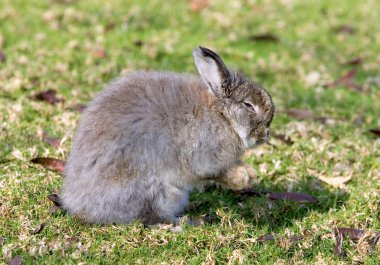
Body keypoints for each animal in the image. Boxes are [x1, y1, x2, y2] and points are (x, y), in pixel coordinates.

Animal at [60, 46, 274, 224]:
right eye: (248, 105)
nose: (265, 135)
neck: (223, 117)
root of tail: (80, 205)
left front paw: (249, 173)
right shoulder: (202, 153)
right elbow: (213, 172)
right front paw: (242, 178)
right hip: (154, 189)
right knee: (150, 216)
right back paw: (185, 223)